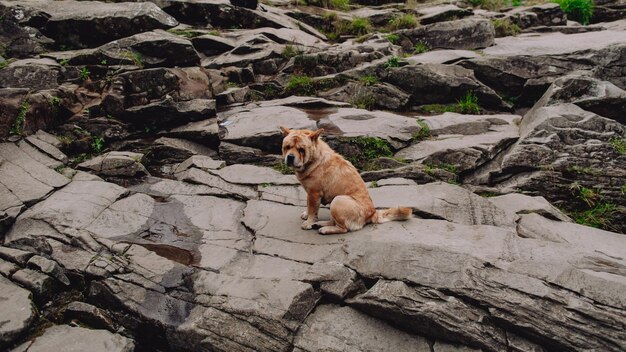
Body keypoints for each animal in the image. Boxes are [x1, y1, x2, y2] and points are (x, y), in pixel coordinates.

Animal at [278, 126, 410, 234]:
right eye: (287, 147)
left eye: (301, 149)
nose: (290, 157)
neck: (313, 160)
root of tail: (372, 213)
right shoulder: (310, 193)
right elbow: (309, 206)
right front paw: (308, 217)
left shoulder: (314, 193)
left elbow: (312, 209)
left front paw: (308, 222)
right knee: (334, 221)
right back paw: (319, 224)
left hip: (338, 200)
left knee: (343, 228)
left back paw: (324, 229)